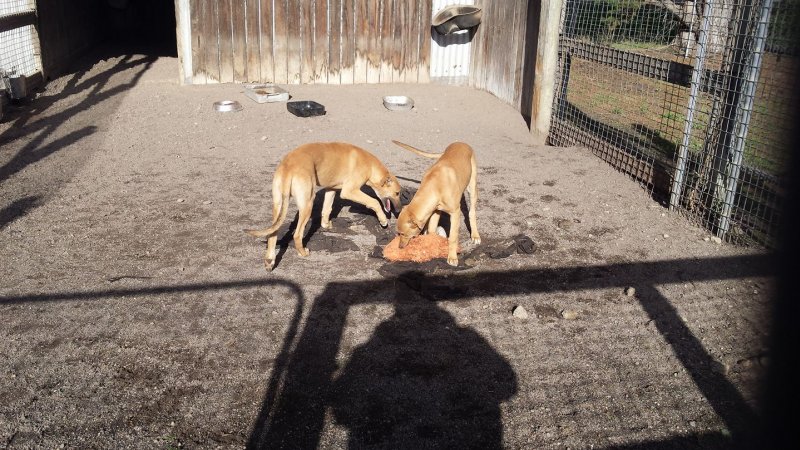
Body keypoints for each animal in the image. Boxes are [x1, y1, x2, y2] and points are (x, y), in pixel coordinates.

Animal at [244, 143, 404, 270]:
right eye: (397, 193)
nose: (399, 210)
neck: (369, 164)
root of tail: (288, 166)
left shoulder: (331, 189)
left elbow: (327, 209)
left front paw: (326, 225)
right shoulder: (349, 191)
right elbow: (374, 202)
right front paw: (383, 220)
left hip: (278, 205)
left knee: (272, 234)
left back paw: (269, 261)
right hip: (307, 203)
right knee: (297, 234)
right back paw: (302, 253)